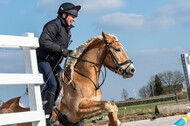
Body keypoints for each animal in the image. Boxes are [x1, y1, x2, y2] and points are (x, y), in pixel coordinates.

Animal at [0, 32, 135, 125]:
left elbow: (112, 107)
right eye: (117, 49)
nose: (132, 70)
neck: (84, 78)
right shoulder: (77, 110)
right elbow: (108, 105)